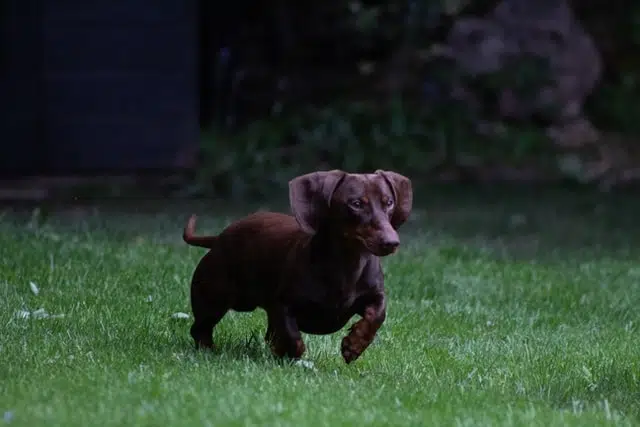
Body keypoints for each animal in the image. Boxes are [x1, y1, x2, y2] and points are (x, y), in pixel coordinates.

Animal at [182, 171, 412, 364]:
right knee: (200, 329)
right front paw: (292, 355)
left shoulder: (375, 295)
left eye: (389, 202)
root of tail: (219, 238)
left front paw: (354, 345)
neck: (348, 265)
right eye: (356, 203)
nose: (391, 242)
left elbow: (377, 315)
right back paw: (208, 351)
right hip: (213, 299)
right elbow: (292, 336)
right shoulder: (282, 304)